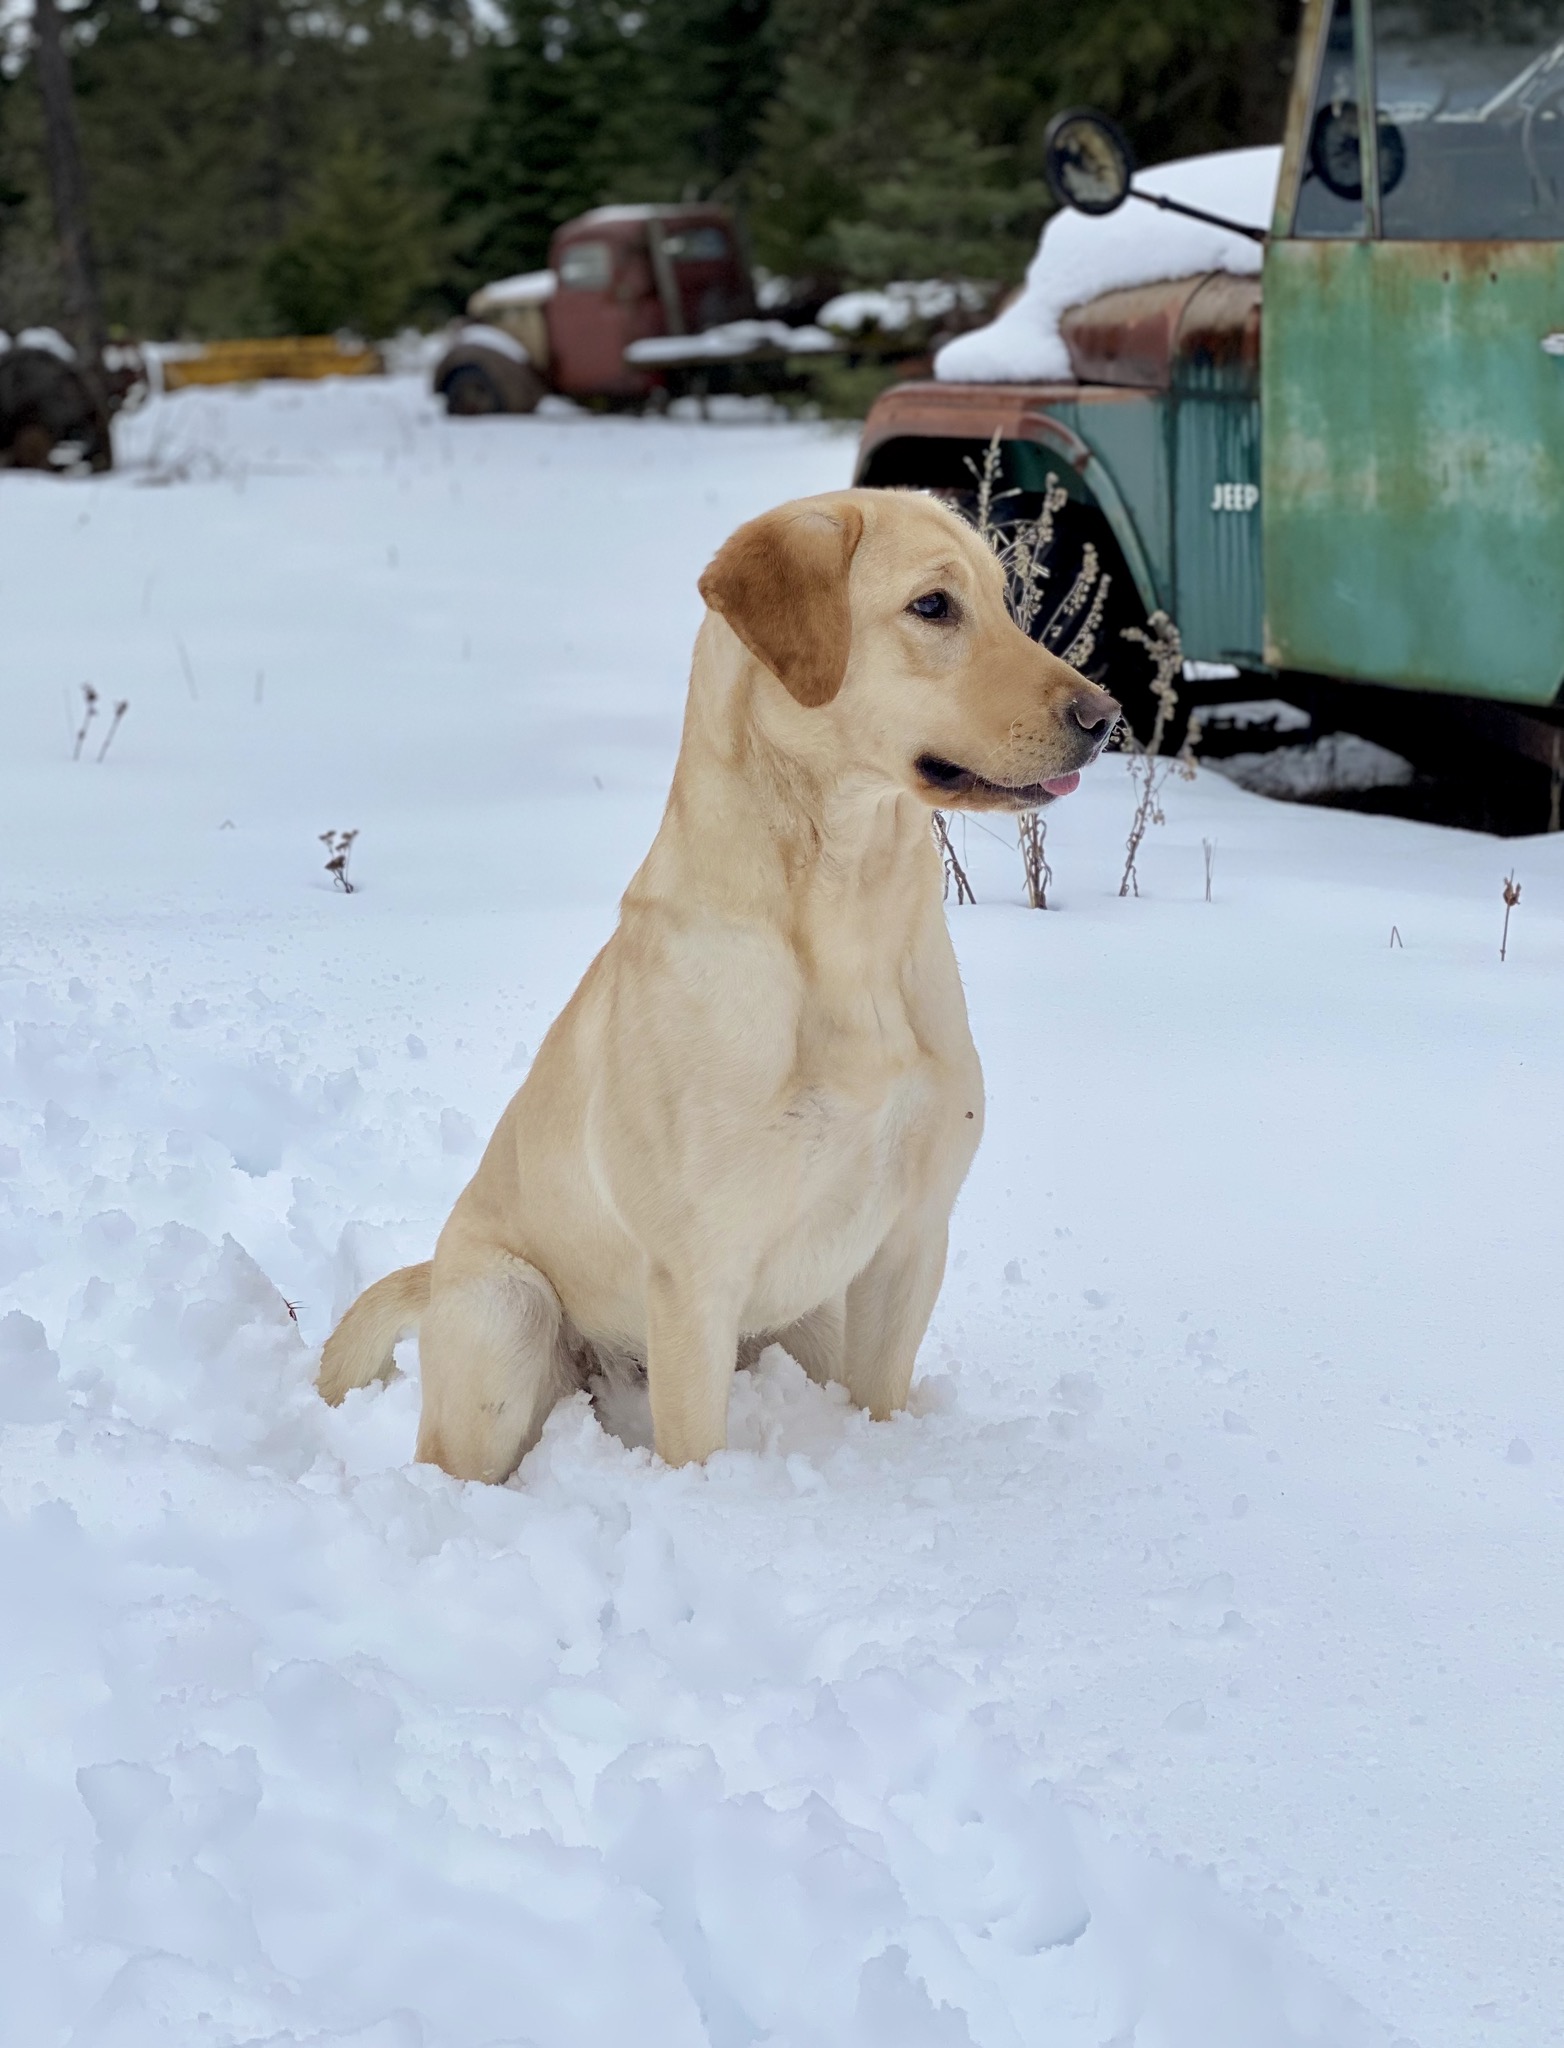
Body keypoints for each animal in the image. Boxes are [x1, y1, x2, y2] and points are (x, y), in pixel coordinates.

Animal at [321, 487, 1113, 1482]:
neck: (849, 920)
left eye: (1006, 602)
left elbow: (880, 1402)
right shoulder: (697, 1274)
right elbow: (695, 1452)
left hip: (808, 1317)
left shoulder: (910, 1240)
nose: (1104, 715)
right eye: (933, 606)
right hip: (510, 1313)